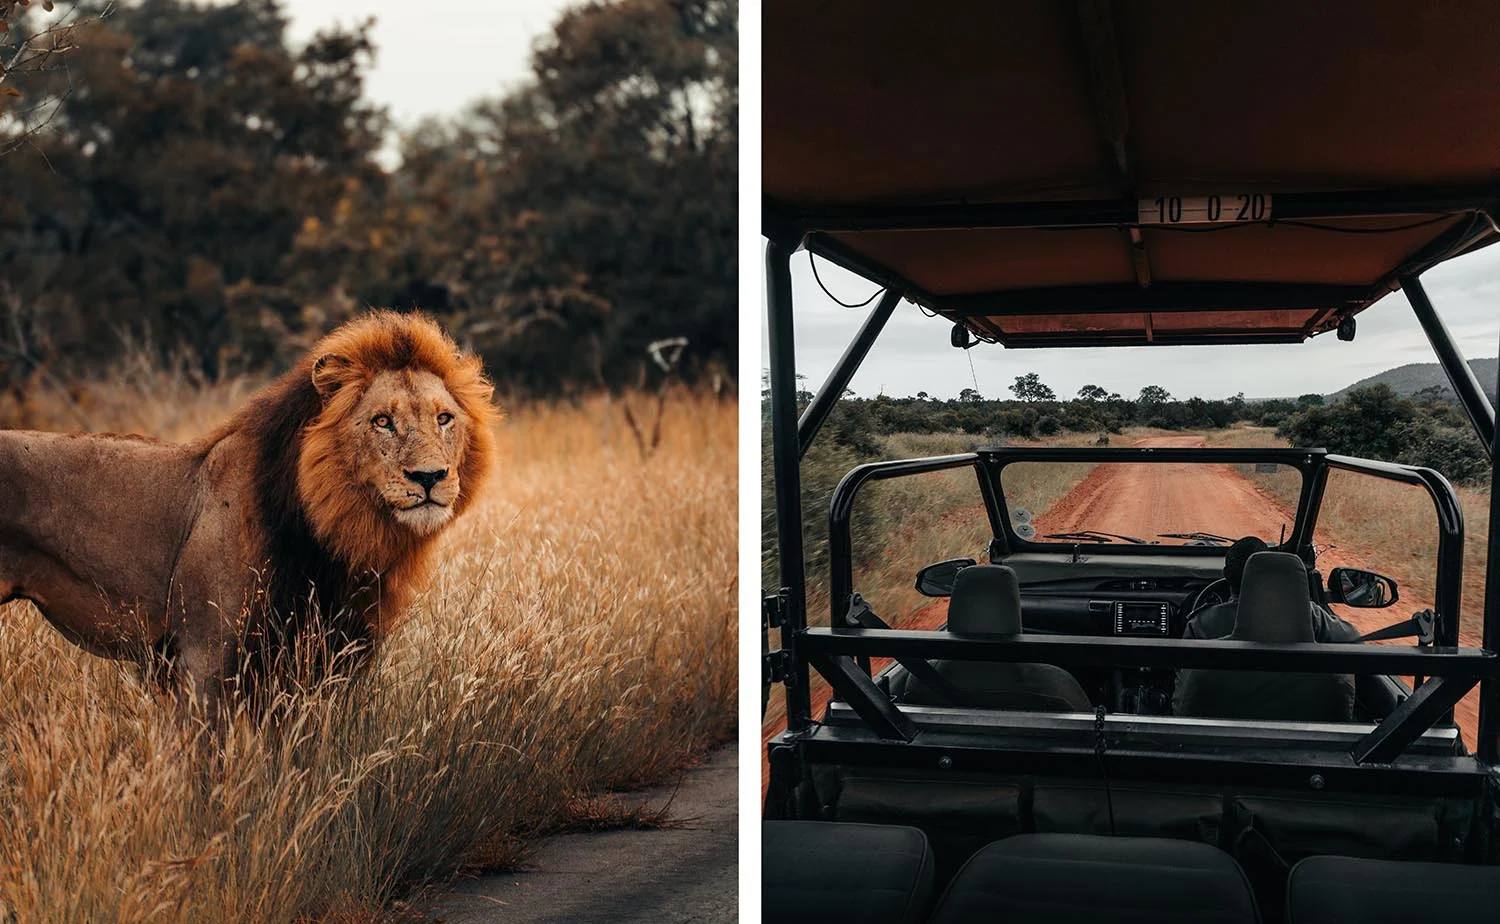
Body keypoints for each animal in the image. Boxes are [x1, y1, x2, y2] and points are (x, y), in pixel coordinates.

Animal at [0, 310, 504, 708]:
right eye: (383, 421)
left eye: (444, 418)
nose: (430, 477)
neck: (333, 534)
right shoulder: (204, 656)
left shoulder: (324, 662)